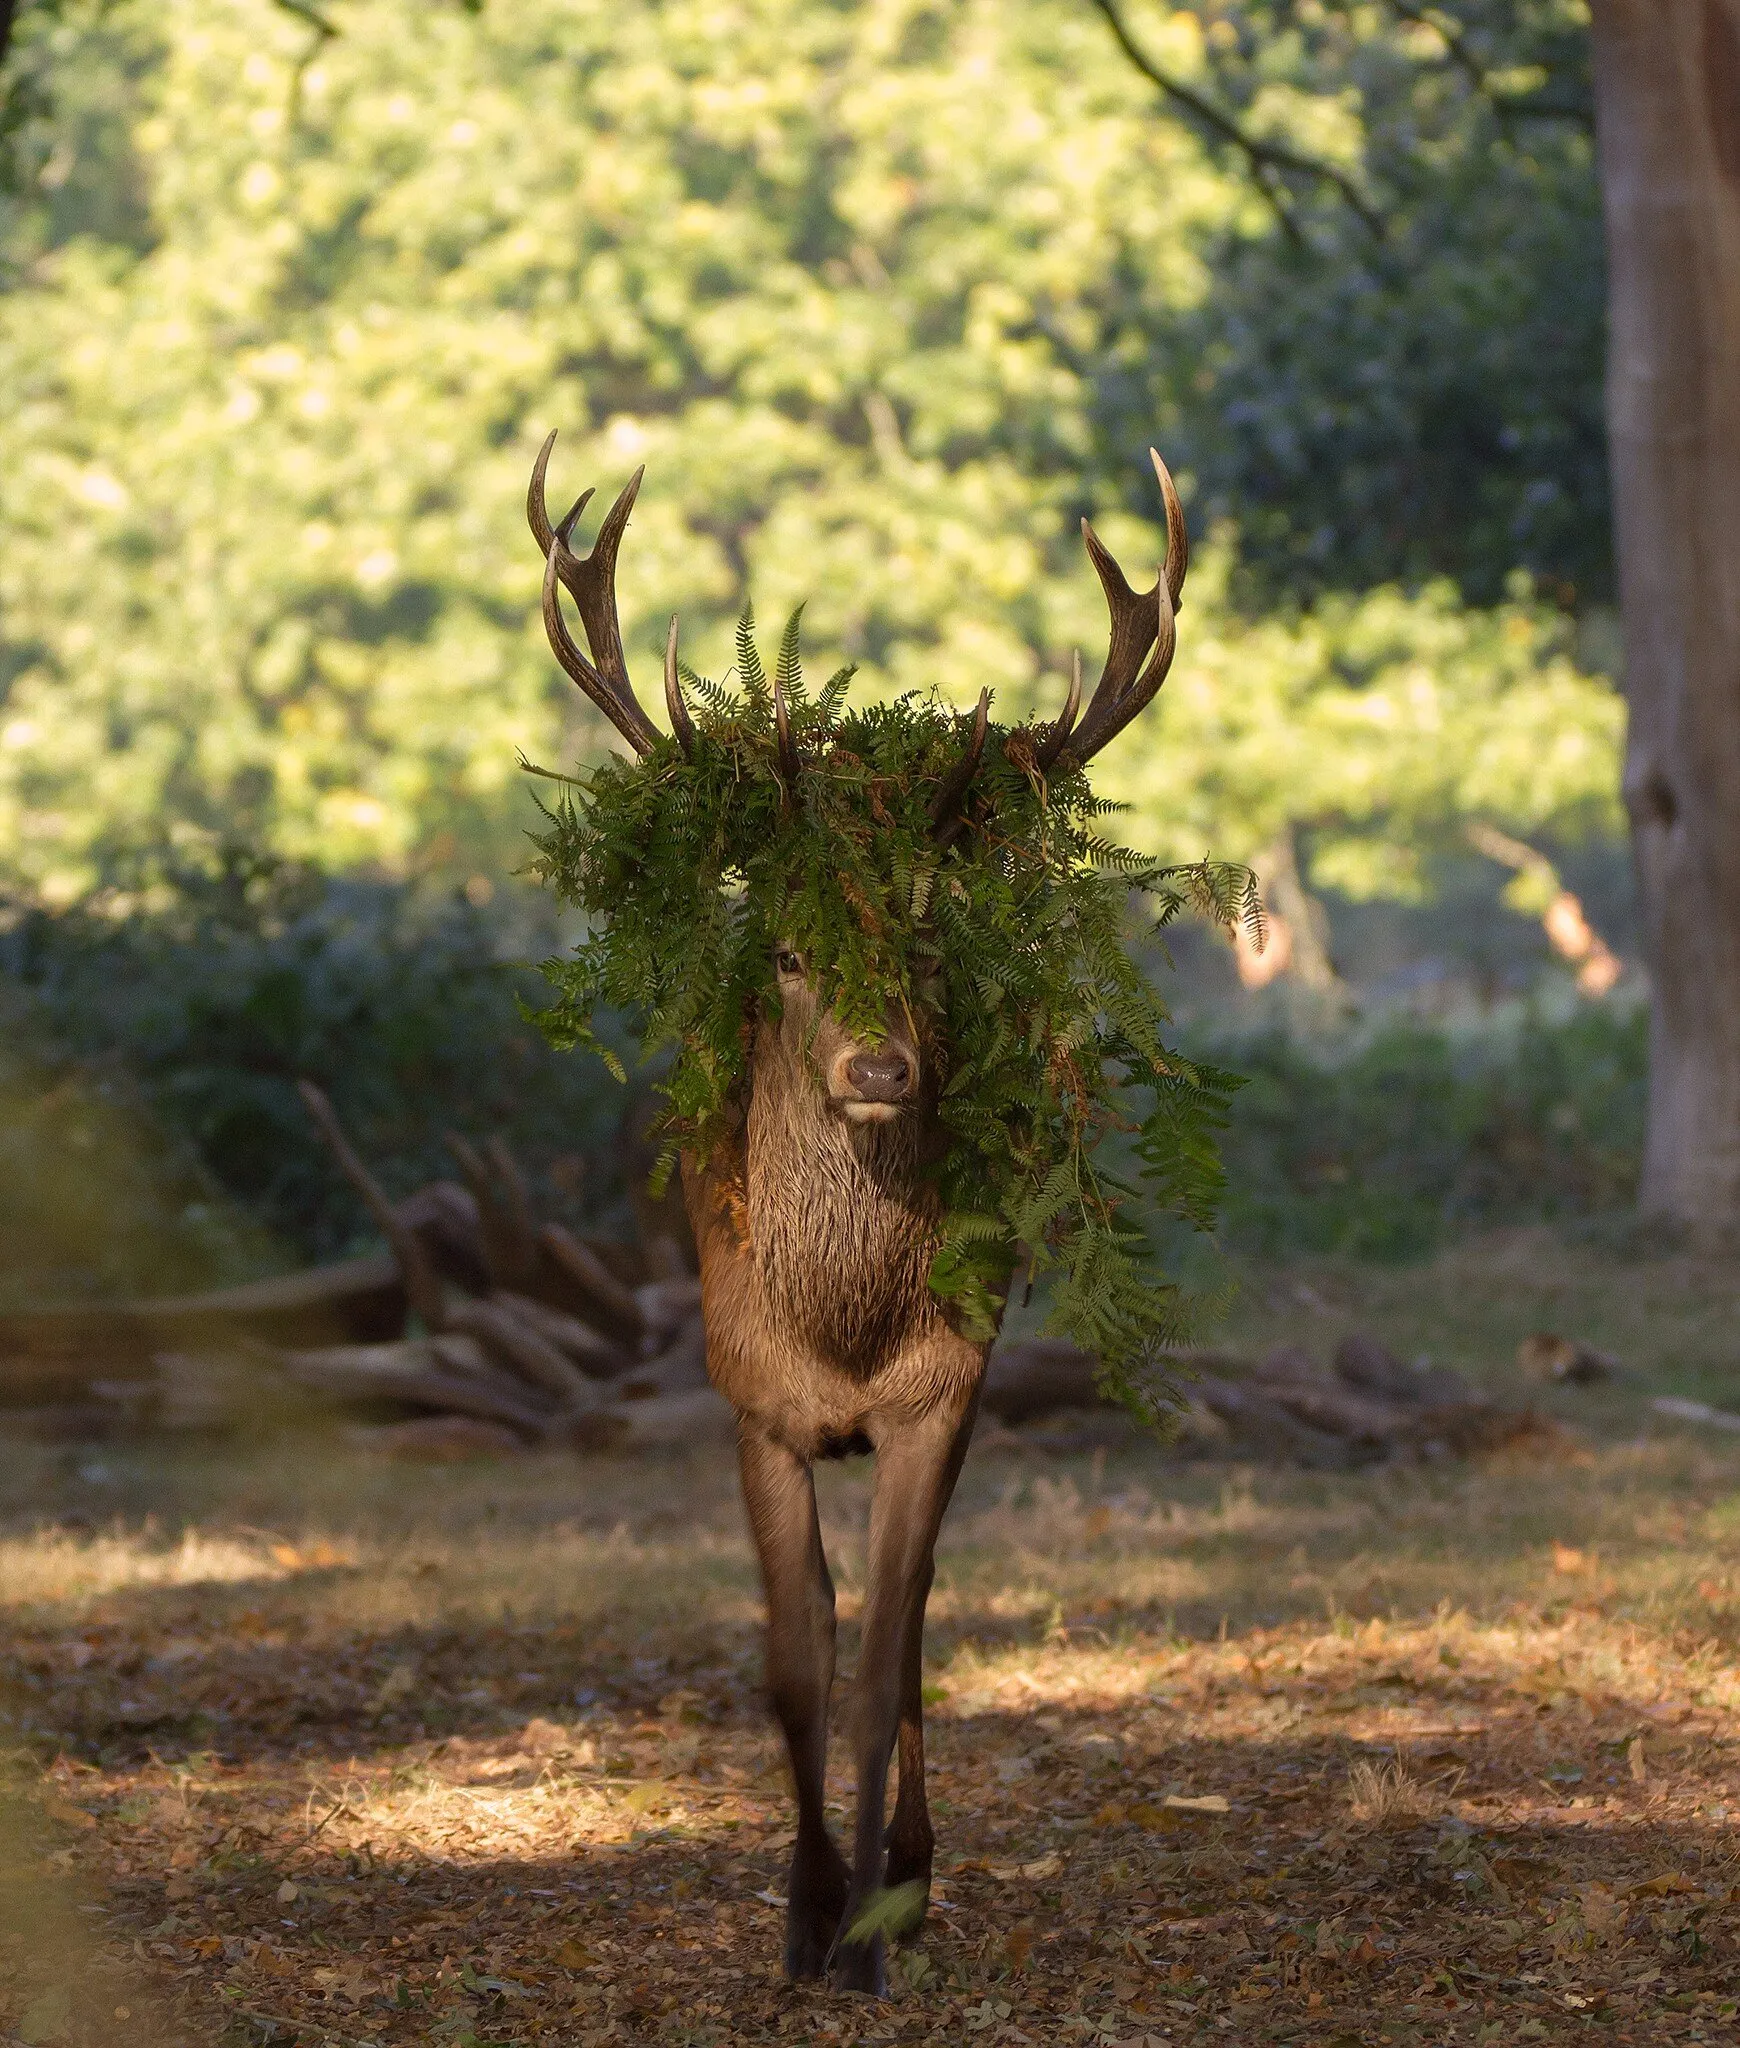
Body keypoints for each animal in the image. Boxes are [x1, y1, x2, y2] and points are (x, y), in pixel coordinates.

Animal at [527, 434, 1188, 1995]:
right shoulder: (749, 1395)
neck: (837, 1328)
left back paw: (920, 1875)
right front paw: (799, 1920)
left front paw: (874, 1928)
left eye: (931, 943)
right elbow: (792, 1655)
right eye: (781, 949)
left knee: (927, 1613)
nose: (880, 1066)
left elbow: (887, 1653)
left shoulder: (941, 1390)